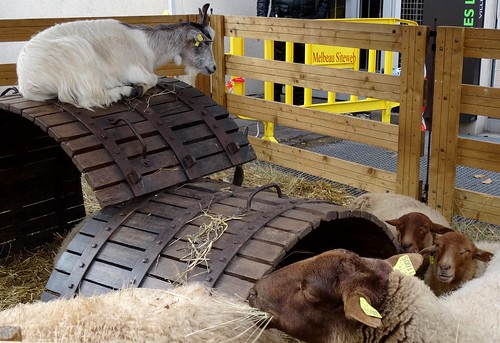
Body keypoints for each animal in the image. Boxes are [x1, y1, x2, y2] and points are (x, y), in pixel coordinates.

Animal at [17, 3, 217, 110]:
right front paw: (139, 88)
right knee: (90, 97)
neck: (148, 47)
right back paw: (124, 91)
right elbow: (153, 79)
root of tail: (25, 80)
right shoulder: (136, 69)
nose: (213, 68)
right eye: (205, 43)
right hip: (78, 53)